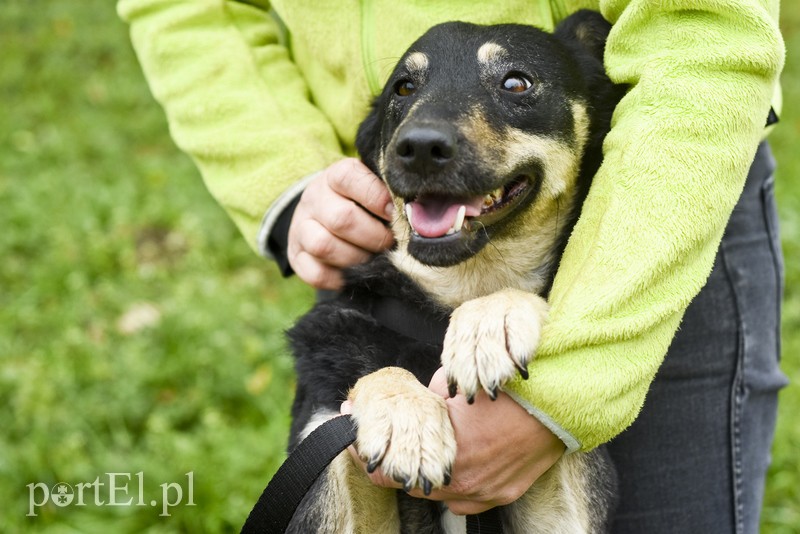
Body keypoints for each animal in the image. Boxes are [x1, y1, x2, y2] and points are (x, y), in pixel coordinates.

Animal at [286, 9, 624, 534]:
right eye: (403, 88)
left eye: (516, 82)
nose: (419, 147)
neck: (458, 288)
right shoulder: (317, 451)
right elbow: (365, 390)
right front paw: (404, 417)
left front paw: (489, 322)